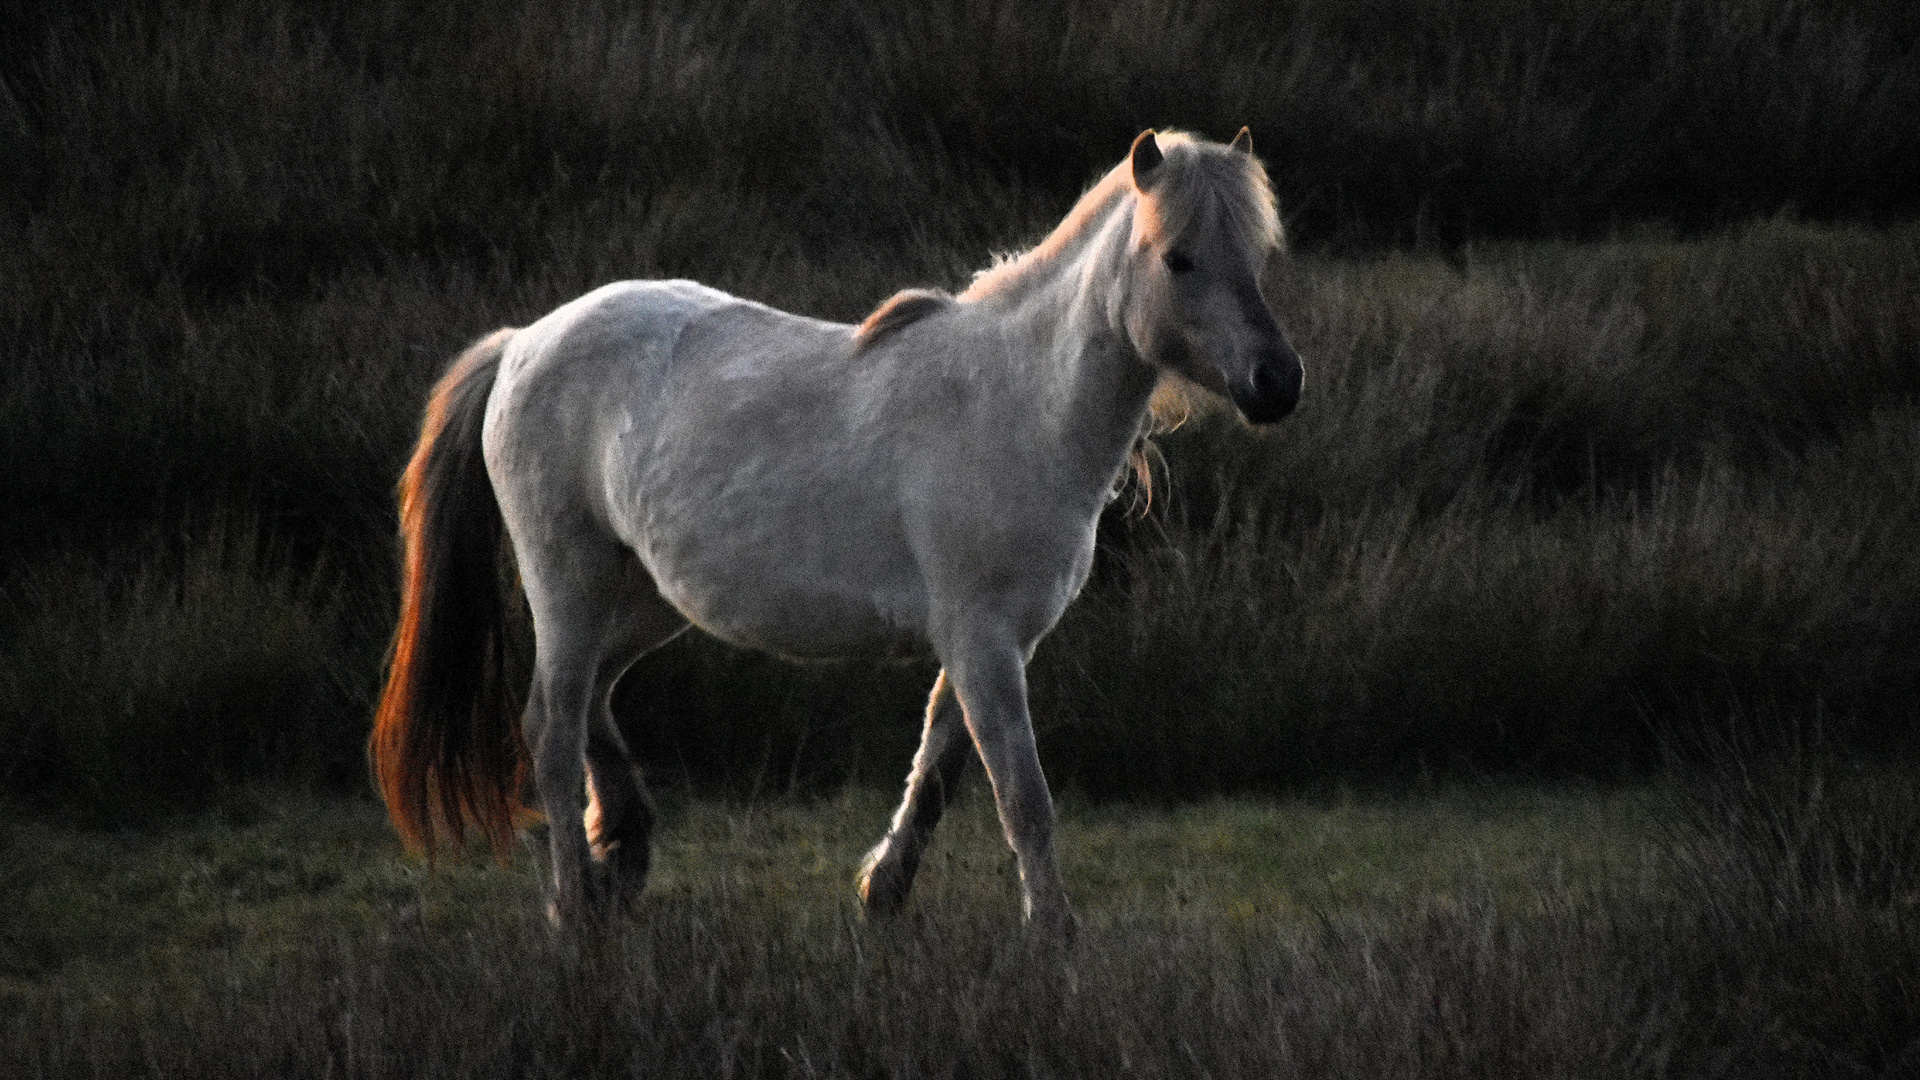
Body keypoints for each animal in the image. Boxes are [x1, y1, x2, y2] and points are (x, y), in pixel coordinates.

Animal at [370, 127, 1305, 933]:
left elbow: (938, 769)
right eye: (1178, 257)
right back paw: (574, 906)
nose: (1278, 381)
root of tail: (524, 341)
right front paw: (1052, 935)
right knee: (553, 729)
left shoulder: (991, 641)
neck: (1018, 403)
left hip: (641, 599)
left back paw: (622, 857)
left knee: (594, 698)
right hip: (567, 583)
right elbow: (1021, 796)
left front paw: (883, 894)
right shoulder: (982, 638)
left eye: (1256, 256)